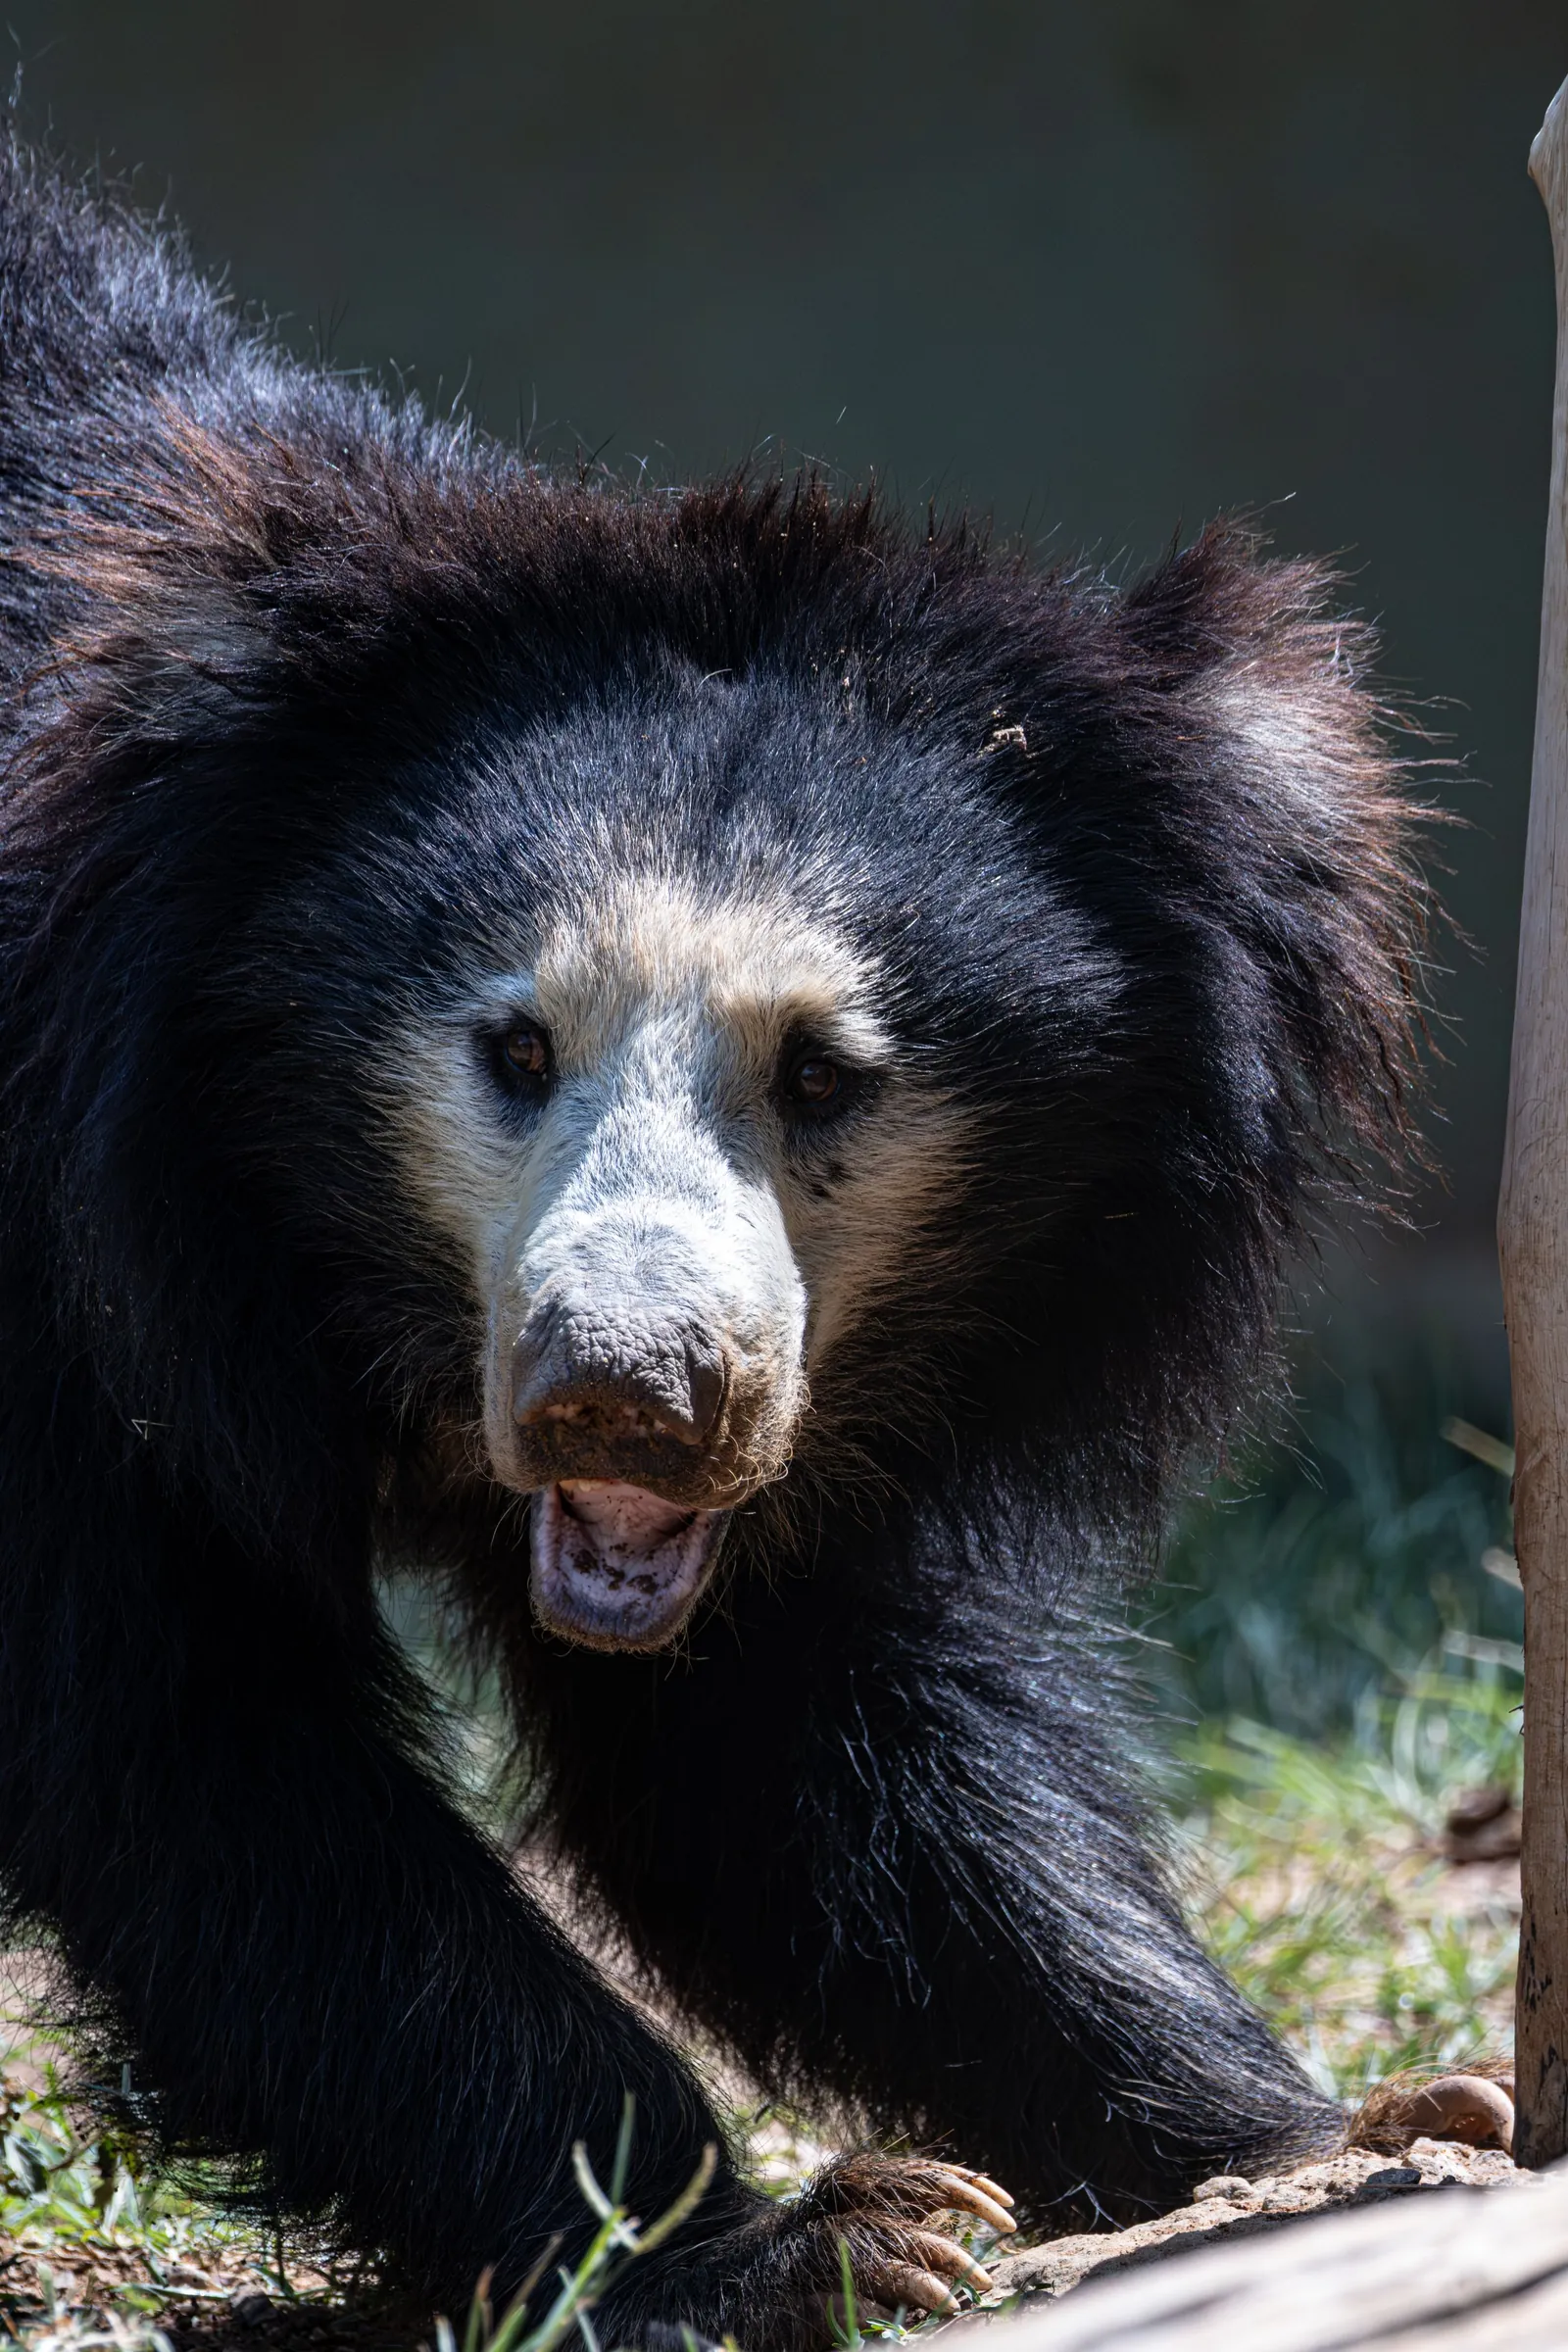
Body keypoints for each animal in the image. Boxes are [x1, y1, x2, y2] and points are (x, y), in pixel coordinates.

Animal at [0, 135, 1425, 2348]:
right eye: (512, 1045)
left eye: (827, 1074)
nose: (632, 1392)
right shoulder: (70, 1272)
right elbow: (192, 1750)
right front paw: (784, 2246)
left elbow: (792, 1748)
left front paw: (1320, 2137)